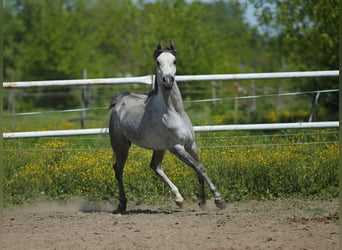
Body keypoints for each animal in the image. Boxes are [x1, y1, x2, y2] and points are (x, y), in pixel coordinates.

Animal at [108, 41, 226, 211]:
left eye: (174, 61)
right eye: (158, 62)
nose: (168, 80)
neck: (174, 112)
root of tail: (119, 102)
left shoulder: (191, 145)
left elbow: (198, 168)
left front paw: (202, 202)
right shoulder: (176, 147)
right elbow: (199, 167)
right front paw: (219, 199)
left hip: (159, 148)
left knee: (155, 166)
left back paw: (179, 199)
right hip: (121, 145)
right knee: (118, 169)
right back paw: (122, 204)